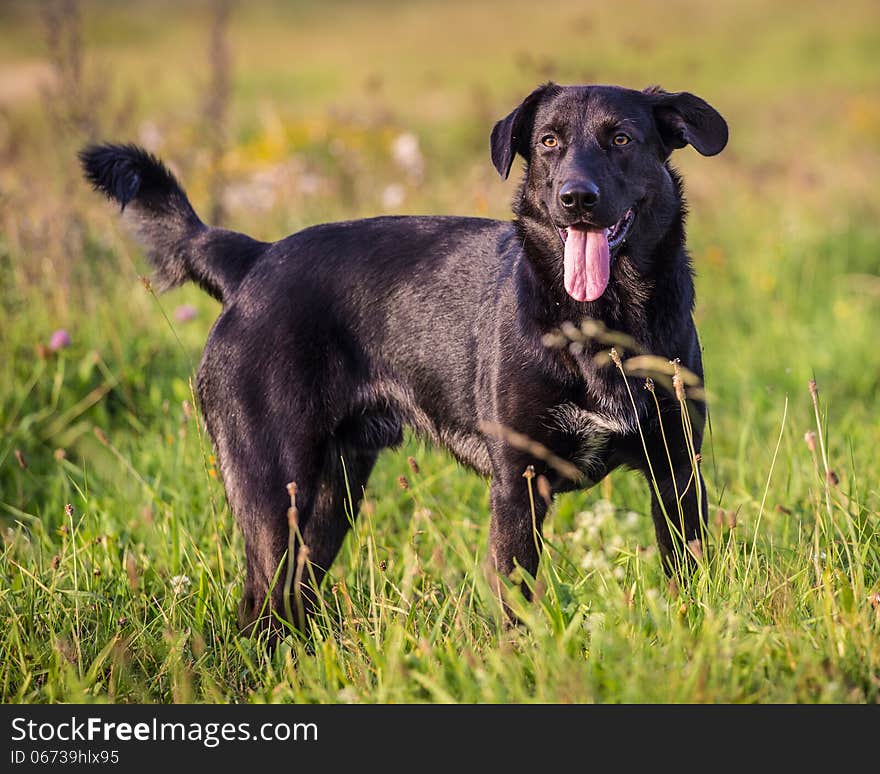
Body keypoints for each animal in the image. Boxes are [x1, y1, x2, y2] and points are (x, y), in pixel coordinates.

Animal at [81, 83, 728, 636]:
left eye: (621, 139)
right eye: (549, 142)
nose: (576, 199)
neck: (600, 319)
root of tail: (252, 260)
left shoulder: (676, 472)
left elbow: (687, 576)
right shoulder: (518, 486)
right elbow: (516, 603)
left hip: (333, 493)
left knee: (294, 594)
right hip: (271, 488)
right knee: (259, 602)